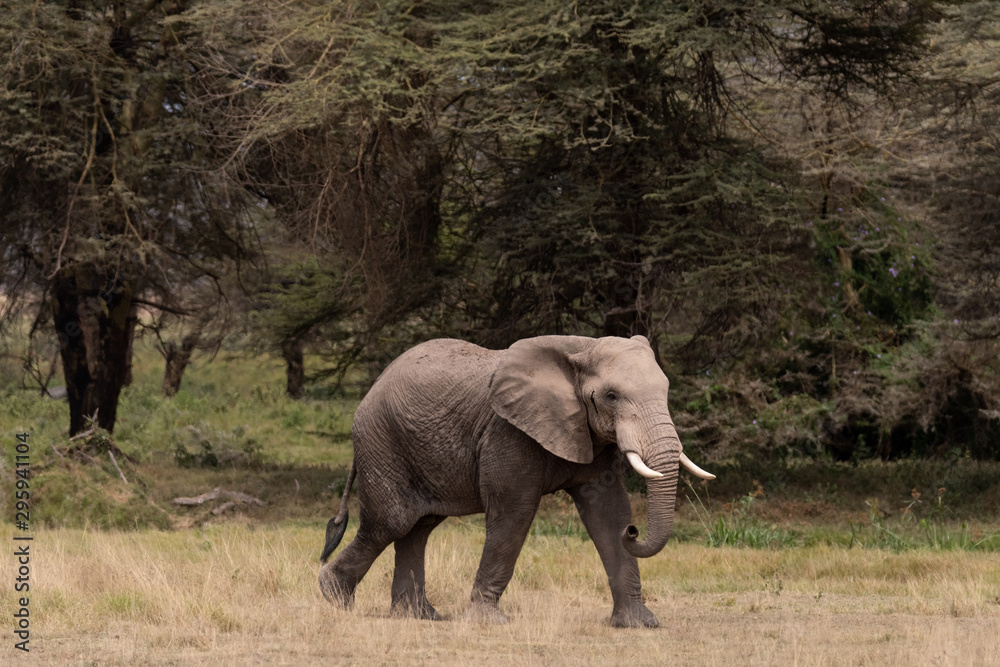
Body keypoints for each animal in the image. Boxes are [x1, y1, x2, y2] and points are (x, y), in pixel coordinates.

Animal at [316, 336, 716, 628]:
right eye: (612, 396)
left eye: (665, 391)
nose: (635, 532)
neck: (579, 348)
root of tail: (371, 389)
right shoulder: (507, 432)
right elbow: (514, 514)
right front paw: (488, 622)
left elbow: (607, 512)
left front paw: (639, 624)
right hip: (382, 441)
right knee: (392, 522)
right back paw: (333, 596)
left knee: (419, 527)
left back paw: (419, 616)